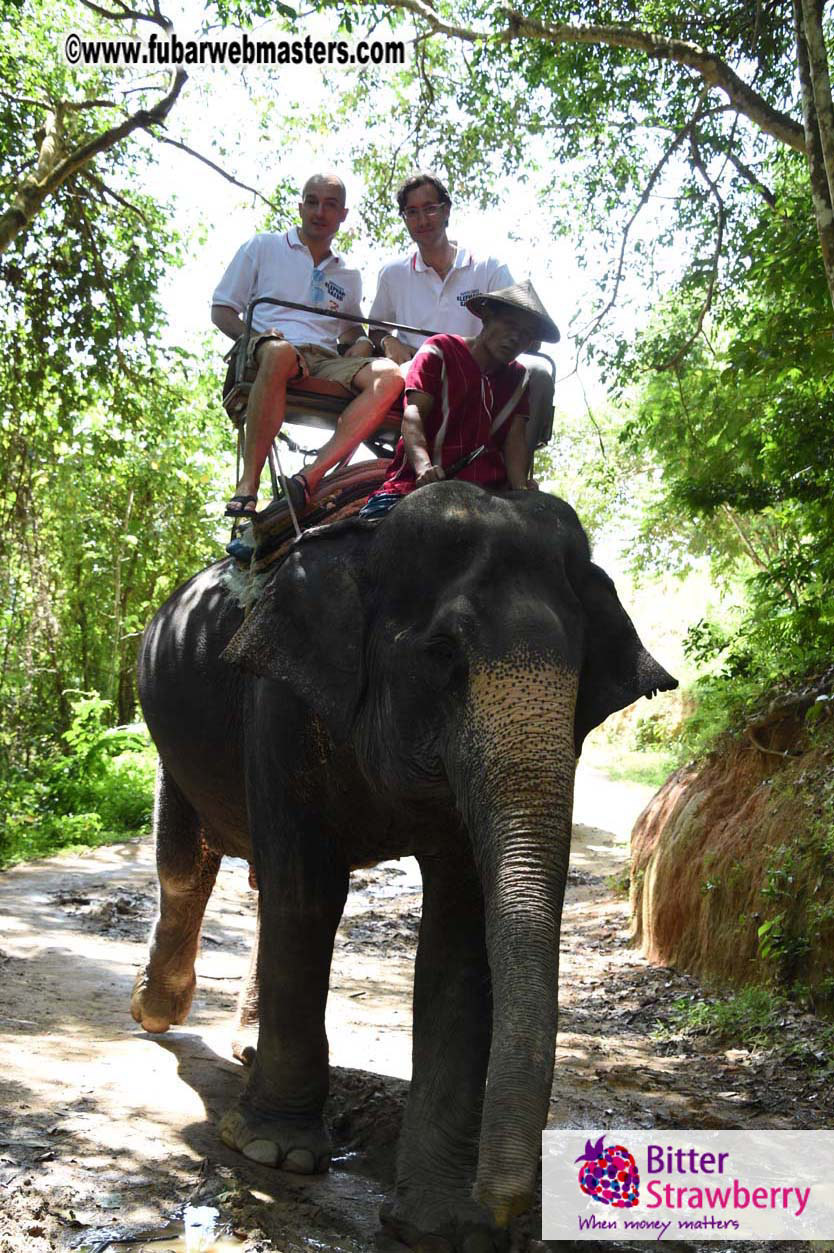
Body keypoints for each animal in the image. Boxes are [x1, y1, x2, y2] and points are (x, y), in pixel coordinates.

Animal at [131, 481, 677, 1251]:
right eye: (444, 654)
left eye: (582, 674)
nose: (507, 1207)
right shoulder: (279, 701)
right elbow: (310, 892)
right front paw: (277, 1153)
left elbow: (462, 932)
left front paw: (440, 1221)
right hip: (171, 730)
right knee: (188, 865)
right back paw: (155, 1010)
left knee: (257, 883)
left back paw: (244, 1051)